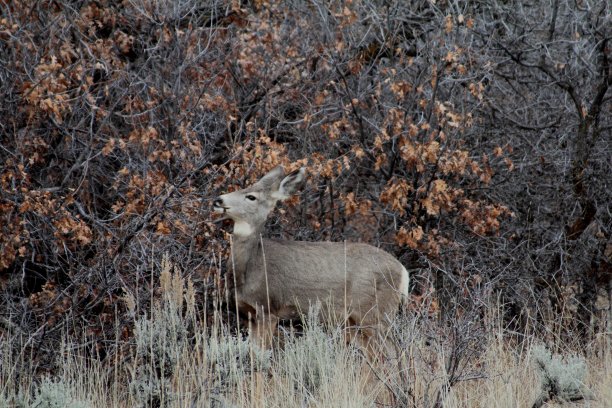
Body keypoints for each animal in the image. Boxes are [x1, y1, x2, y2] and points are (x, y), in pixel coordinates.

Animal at [213, 166, 408, 354]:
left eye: (251, 196)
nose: (218, 200)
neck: (250, 268)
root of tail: (403, 271)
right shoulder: (248, 315)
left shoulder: (268, 309)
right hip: (356, 322)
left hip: (375, 313)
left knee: (394, 353)